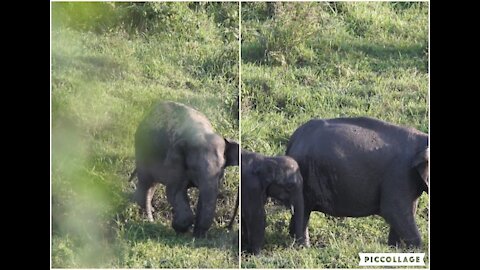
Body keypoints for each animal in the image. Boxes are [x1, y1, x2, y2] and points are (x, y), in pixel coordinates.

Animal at [129, 100, 238, 237]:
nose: (197, 235)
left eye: (221, 173)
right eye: (194, 169)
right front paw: (179, 229)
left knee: (152, 183)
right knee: (146, 182)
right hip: (142, 149)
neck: (201, 132)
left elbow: (205, 195)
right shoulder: (176, 164)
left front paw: (196, 234)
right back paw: (148, 216)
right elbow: (174, 191)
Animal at [286, 116, 430, 247]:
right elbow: (393, 210)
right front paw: (415, 250)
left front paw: (394, 248)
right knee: (303, 210)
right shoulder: (399, 172)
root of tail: (294, 138)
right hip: (304, 174)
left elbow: (406, 210)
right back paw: (303, 247)